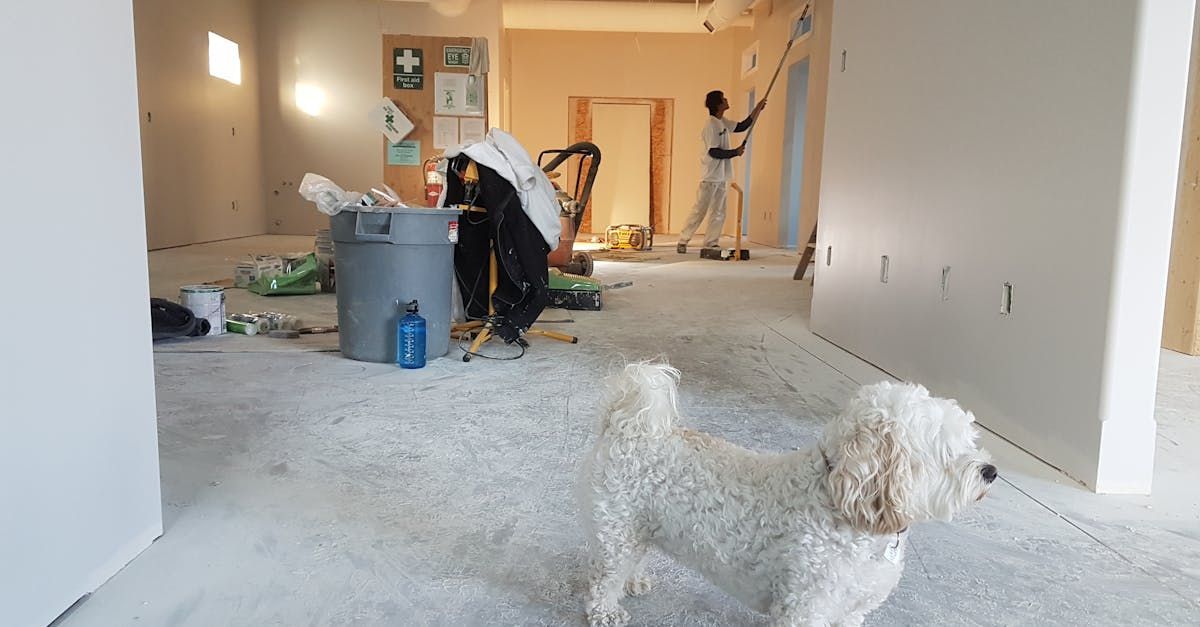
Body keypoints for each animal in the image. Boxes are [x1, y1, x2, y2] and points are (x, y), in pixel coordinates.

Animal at [578, 360, 993, 624]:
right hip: (617, 529)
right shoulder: (805, 608)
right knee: (603, 577)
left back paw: (633, 580)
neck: (841, 504)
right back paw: (605, 610)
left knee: (635, 557)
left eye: (970, 438)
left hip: (640, 527)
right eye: (947, 451)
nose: (991, 471)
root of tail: (627, 425)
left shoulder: (851, 611)